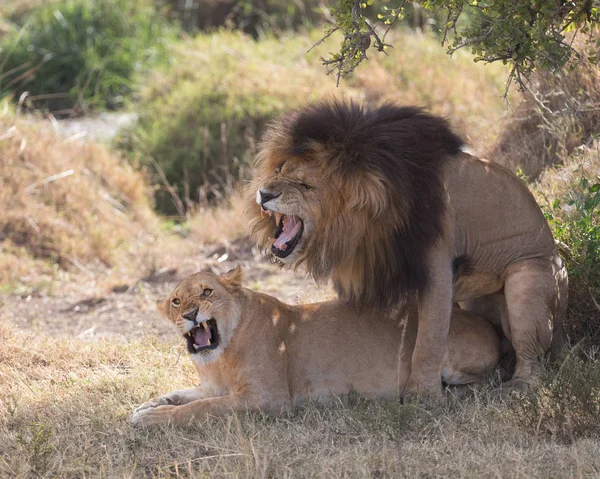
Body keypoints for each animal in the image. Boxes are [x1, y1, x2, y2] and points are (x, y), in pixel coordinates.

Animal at [132, 268, 502, 430]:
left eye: (207, 291)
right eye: (176, 301)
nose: (189, 314)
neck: (218, 358)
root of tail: (490, 324)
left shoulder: (270, 399)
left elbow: (201, 408)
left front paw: (152, 418)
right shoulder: (215, 386)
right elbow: (183, 394)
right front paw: (146, 406)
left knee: (480, 385)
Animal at [245, 100, 568, 398]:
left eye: (306, 185)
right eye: (280, 169)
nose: (264, 193)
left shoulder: (436, 270)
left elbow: (429, 339)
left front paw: (421, 394)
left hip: (528, 280)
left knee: (532, 354)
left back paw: (518, 386)